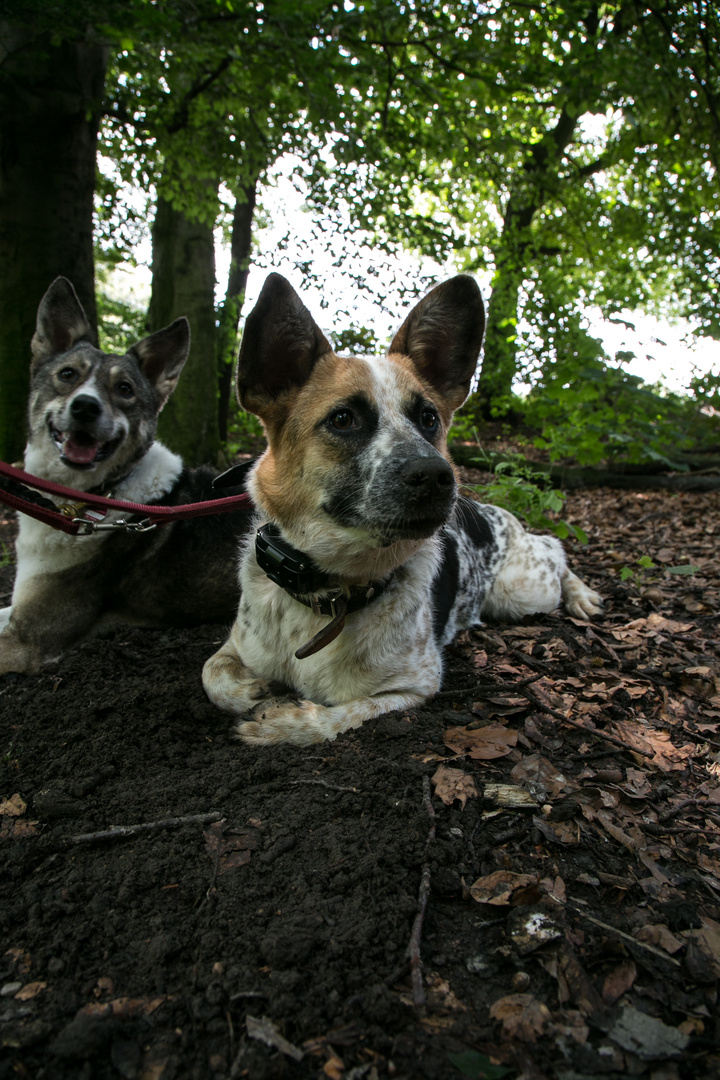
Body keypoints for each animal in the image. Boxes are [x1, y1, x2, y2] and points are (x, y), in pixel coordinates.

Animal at [202, 272, 604, 743]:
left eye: (428, 418)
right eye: (343, 419)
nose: (436, 475)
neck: (330, 594)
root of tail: (496, 513)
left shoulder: (414, 688)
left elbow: (337, 716)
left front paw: (282, 724)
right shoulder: (235, 645)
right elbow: (213, 675)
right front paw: (254, 690)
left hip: (522, 590)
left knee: (554, 549)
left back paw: (581, 595)